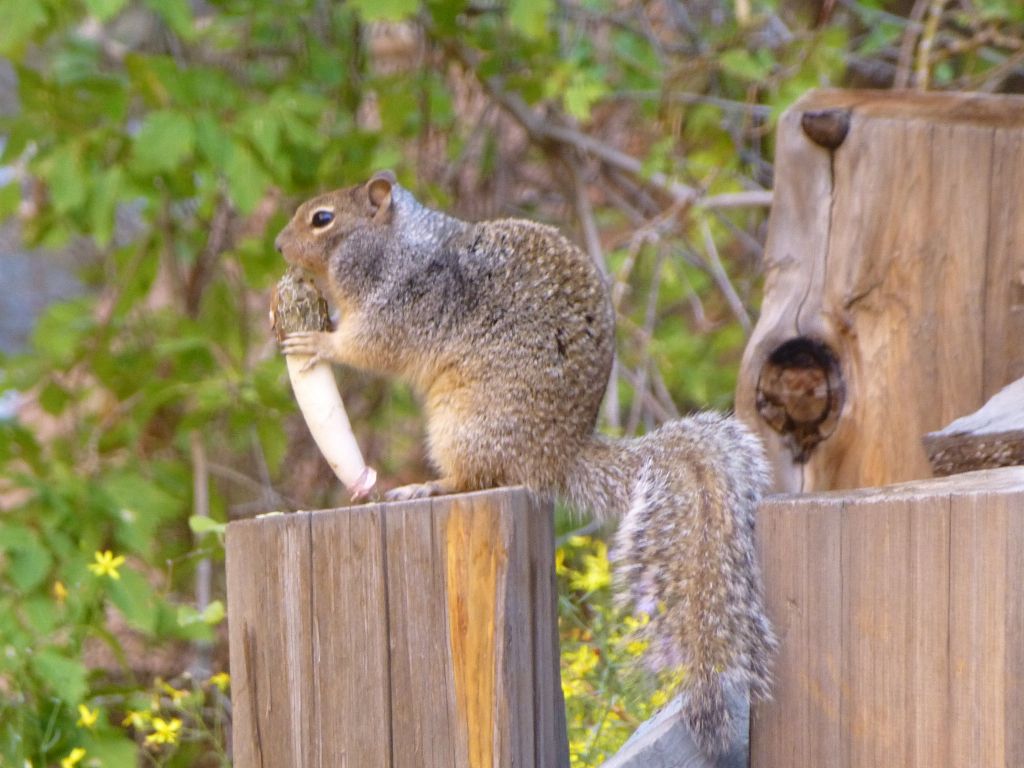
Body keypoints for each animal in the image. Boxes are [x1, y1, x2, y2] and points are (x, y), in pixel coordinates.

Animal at [272, 169, 774, 757]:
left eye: (323, 219)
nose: (278, 246)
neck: (397, 247)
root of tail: (557, 454)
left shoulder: (403, 308)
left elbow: (368, 348)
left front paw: (315, 340)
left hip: (463, 426)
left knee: (477, 478)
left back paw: (427, 487)